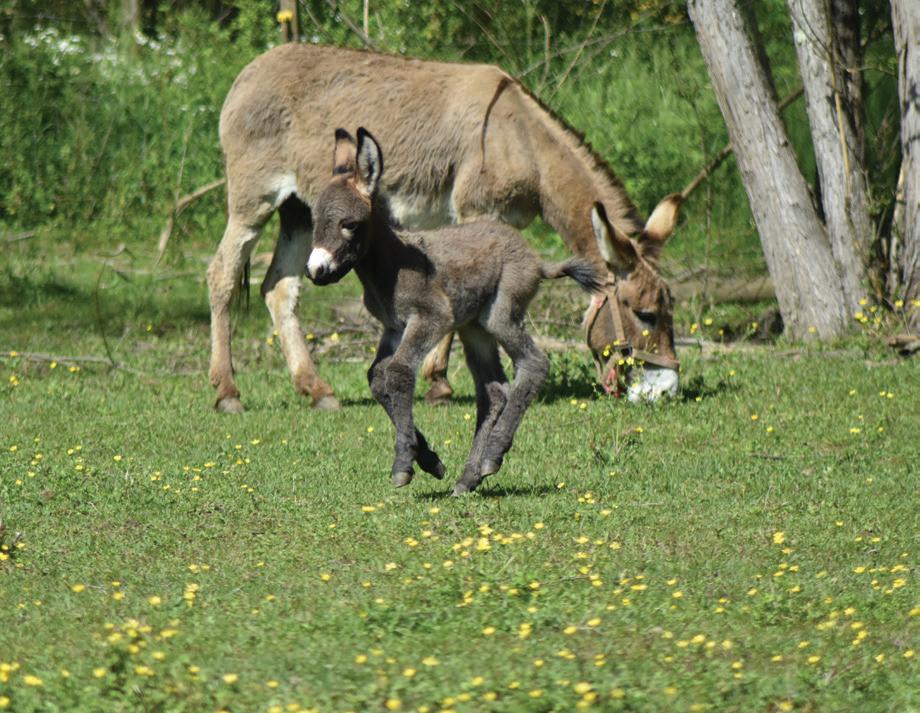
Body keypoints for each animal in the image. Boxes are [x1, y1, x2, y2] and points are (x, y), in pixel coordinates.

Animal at [207, 43, 682, 414]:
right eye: (646, 314)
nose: (666, 393)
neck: (521, 142)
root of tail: (248, 71)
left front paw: (437, 379)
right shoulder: (475, 212)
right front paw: (438, 383)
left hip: (300, 211)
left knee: (279, 288)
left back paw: (316, 389)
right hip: (253, 200)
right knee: (222, 275)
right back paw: (228, 393)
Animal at [307, 127, 602, 494]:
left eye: (349, 224)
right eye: (314, 222)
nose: (315, 271)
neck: (391, 266)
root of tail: (535, 259)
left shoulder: (432, 318)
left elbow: (398, 373)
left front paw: (404, 464)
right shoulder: (393, 328)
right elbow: (377, 378)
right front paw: (428, 458)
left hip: (500, 314)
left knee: (534, 364)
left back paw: (492, 456)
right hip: (473, 329)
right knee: (493, 392)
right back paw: (470, 477)